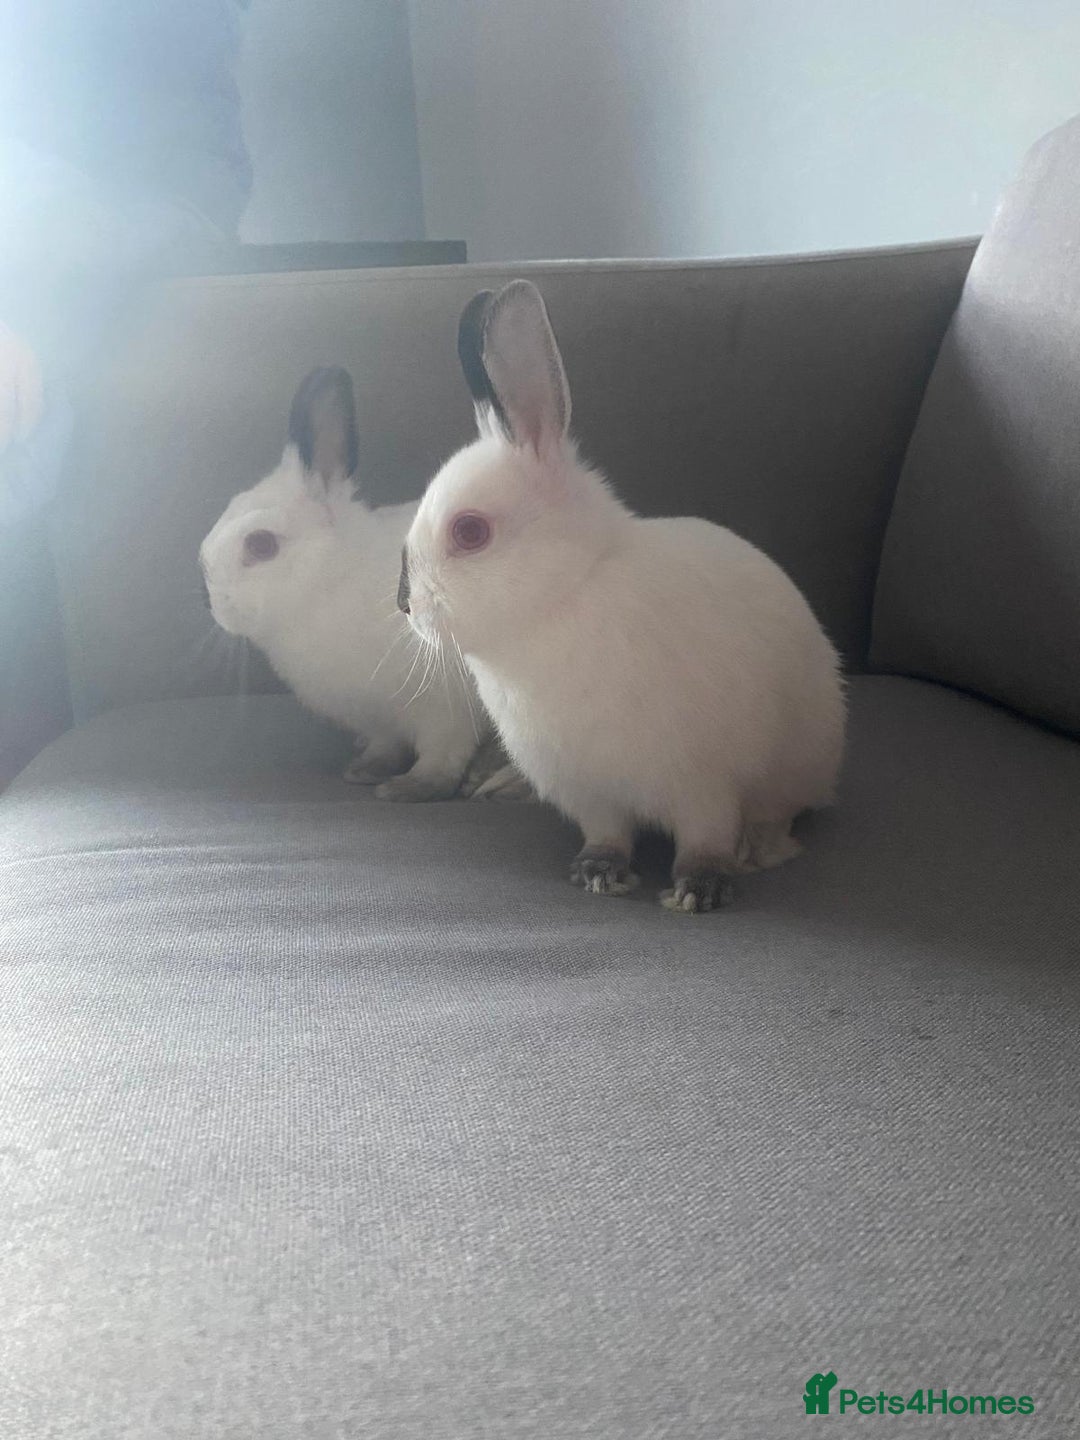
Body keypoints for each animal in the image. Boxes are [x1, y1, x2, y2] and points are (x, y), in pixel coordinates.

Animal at [199, 365, 510, 802]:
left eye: (261, 544)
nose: (209, 599)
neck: (330, 579)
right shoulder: (380, 718)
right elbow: (385, 744)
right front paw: (364, 770)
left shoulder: (444, 707)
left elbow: (443, 753)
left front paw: (408, 787)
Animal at [397, 281, 846, 909]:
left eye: (469, 532)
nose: (405, 604)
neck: (566, 595)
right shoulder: (590, 791)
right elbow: (607, 834)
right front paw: (598, 872)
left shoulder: (705, 784)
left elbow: (705, 838)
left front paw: (698, 890)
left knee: (780, 811)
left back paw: (759, 848)